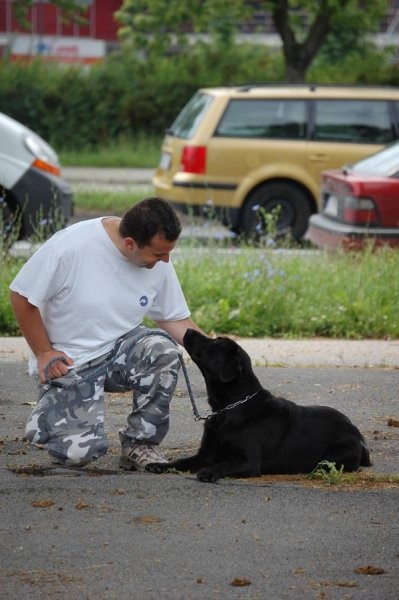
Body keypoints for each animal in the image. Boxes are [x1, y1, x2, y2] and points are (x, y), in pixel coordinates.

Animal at [148, 328, 374, 482]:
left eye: (215, 342)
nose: (187, 330)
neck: (229, 407)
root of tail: (358, 434)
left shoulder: (248, 461)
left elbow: (223, 464)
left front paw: (209, 472)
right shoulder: (205, 454)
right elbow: (181, 462)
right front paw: (159, 465)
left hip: (332, 458)